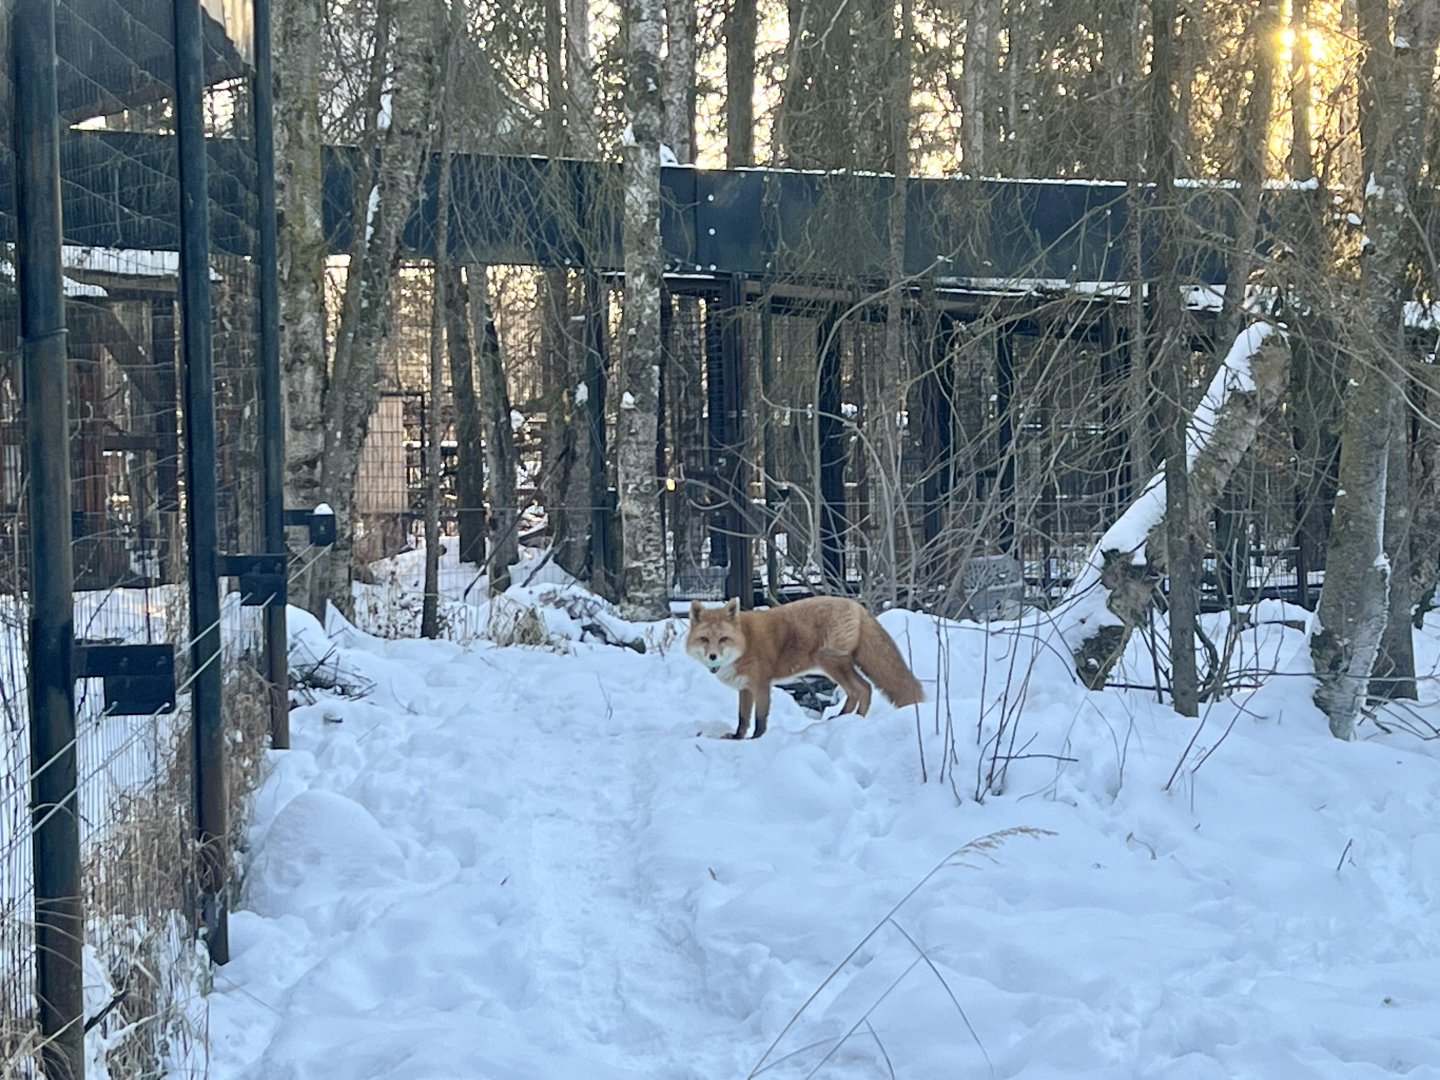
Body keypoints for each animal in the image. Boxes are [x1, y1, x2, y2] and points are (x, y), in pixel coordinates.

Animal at [686, 596, 925, 739]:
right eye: (704, 639)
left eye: (723, 639)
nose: (713, 656)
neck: (745, 641)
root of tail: (857, 606)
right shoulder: (745, 688)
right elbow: (742, 718)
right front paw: (737, 737)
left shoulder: (761, 685)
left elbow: (760, 719)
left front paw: (756, 739)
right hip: (834, 666)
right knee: (858, 690)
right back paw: (844, 718)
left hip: (830, 662)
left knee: (864, 688)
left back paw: (856, 719)